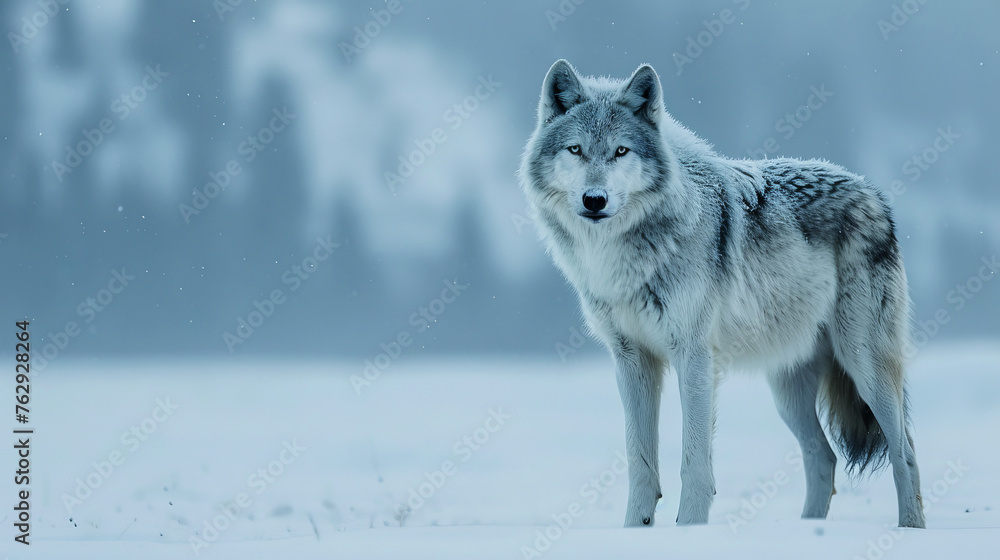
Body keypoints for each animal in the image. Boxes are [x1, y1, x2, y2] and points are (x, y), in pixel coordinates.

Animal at [519, 60, 925, 529]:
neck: (625, 258)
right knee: (823, 457)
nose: (594, 199)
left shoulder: (693, 355)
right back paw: (808, 529)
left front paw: (690, 530)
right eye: (575, 150)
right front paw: (634, 531)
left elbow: (694, 462)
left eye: (621, 151)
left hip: (864, 365)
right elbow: (640, 462)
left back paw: (911, 530)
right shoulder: (631, 359)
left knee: (905, 452)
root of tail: (873, 193)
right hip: (787, 390)